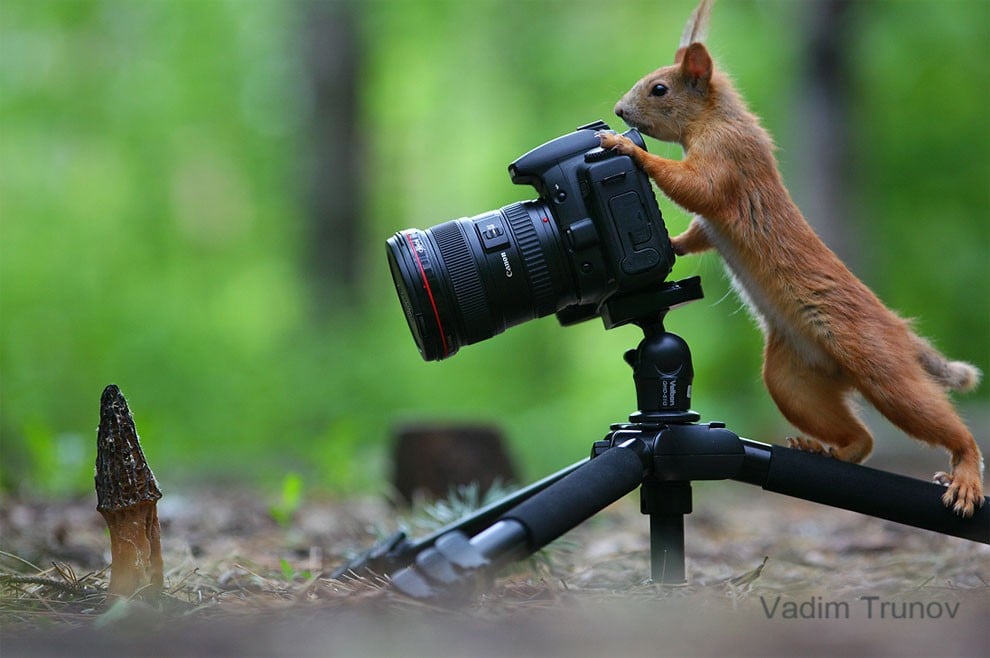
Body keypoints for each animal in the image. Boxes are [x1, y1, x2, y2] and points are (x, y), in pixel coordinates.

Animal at [596, 0, 984, 516]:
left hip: (879, 366)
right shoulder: (712, 220)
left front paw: (623, 148)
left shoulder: (728, 161)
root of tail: (898, 332)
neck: (714, 119)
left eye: (659, 88)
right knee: (861, 438)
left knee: (936, 420)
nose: (619, 111)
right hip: (792, 382)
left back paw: (966, 473)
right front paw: (672, 245)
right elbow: (698, 234)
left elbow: (694, 187)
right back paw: (825, 449)